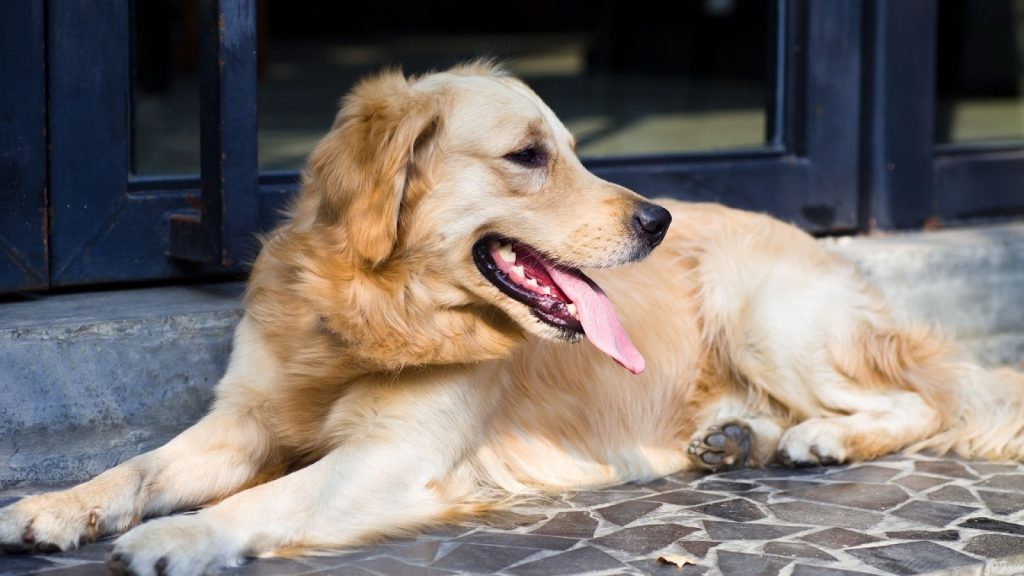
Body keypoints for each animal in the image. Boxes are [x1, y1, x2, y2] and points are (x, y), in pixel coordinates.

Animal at [2, 60, 1024, 569]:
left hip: (768, 314)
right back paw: (739, 439)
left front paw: (176, 537)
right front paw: (59, 504)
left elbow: (269, 497)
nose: (658, 219)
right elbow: (140, 466)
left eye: (574, 149)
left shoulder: (393, 458)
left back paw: (820, 440)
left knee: (918, 401)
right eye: (530, 155)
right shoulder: (242, 419)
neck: (380, 305)